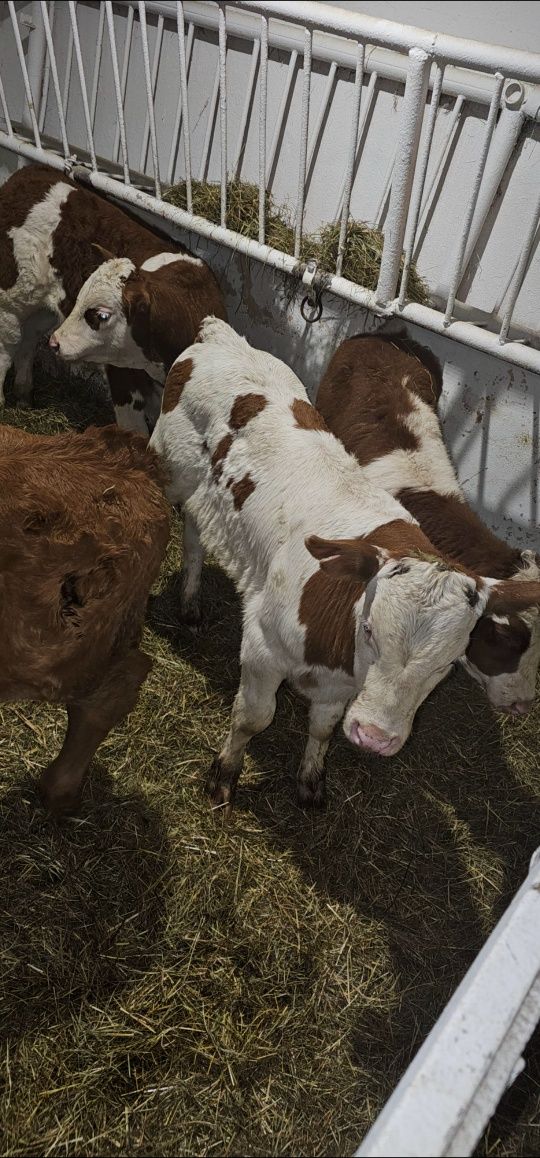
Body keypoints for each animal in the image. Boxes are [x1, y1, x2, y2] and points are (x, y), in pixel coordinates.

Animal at [0, 163, 225, 430]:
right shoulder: (122, 379)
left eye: (101, 315)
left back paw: (24, 397)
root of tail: (31, 171)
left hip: (43, 309)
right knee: (6, 347)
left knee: (29, 339)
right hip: (10, 303)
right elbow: (133, 432)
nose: (55, 343)